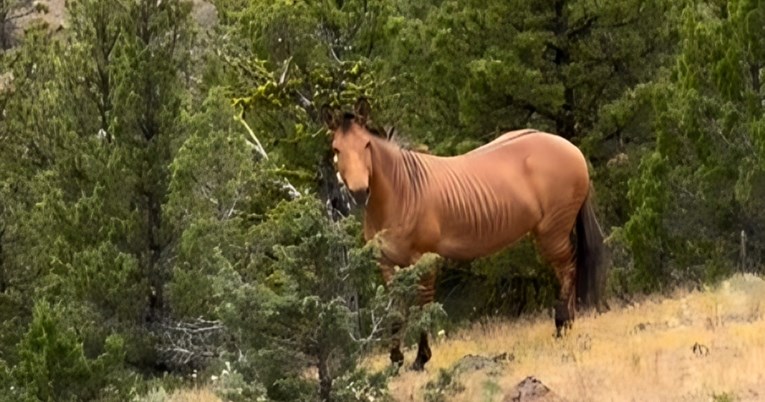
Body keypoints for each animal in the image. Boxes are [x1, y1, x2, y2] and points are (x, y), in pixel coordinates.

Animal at [320, 96, 604, 370]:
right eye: (336, 149)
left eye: (367, 145)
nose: (359, 192)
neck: (401, 192)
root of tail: (572, 148)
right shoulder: (387, 263)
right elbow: (395, 312)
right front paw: (396, 359)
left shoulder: (425, 260)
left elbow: (424, 306)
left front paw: (421, 358)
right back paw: (569, 324)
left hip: (552, 232)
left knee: (567, 268)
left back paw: (561, 326)